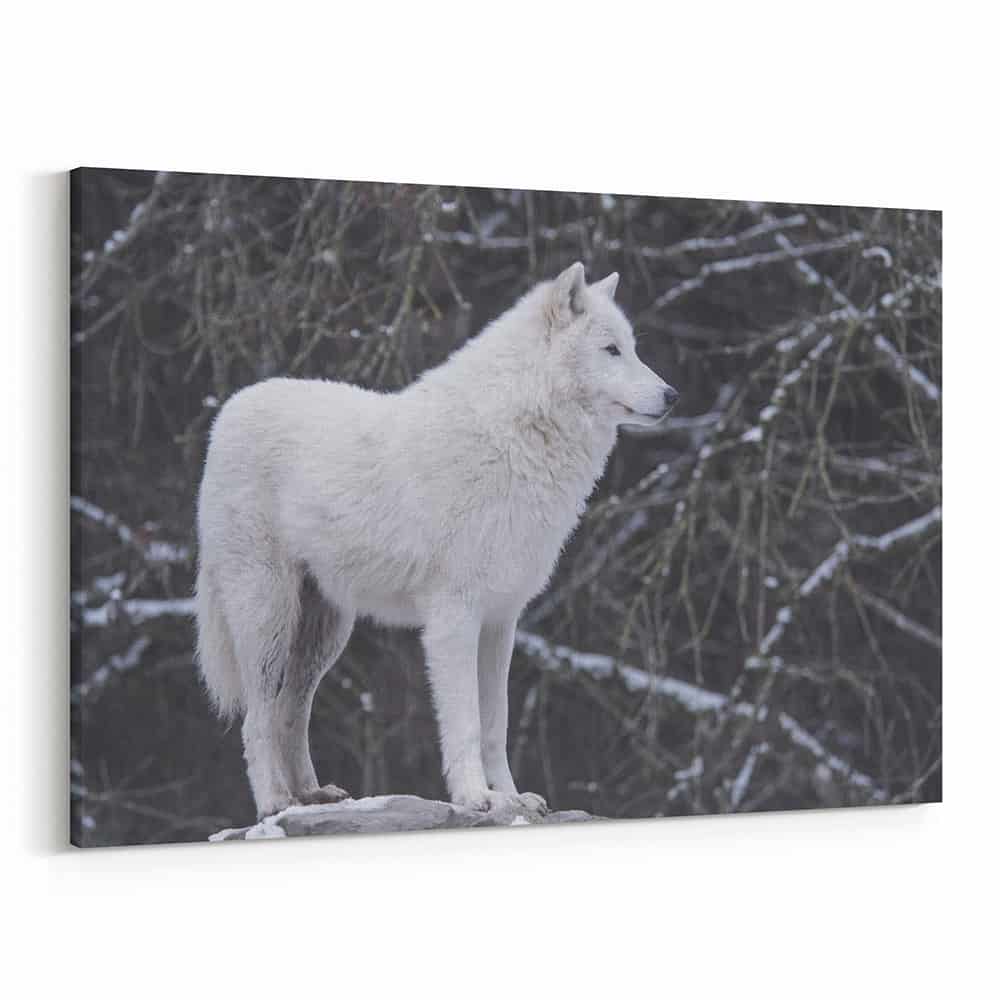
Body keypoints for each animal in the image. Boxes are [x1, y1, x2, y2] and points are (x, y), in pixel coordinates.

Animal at [195, 262, 678, 819]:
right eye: (611, 350)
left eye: (633, 348)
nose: (673, 396)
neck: (515, 436)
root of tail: (229, 409)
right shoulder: (453, 616)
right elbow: (465, 721)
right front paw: (474, 797)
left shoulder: (501, 620)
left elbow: (495, 723)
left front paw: (512, 797)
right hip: (267, 618)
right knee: (257, 718)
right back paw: (275, 803)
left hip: (325, 633)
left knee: (291, 712)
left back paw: (311, 797)